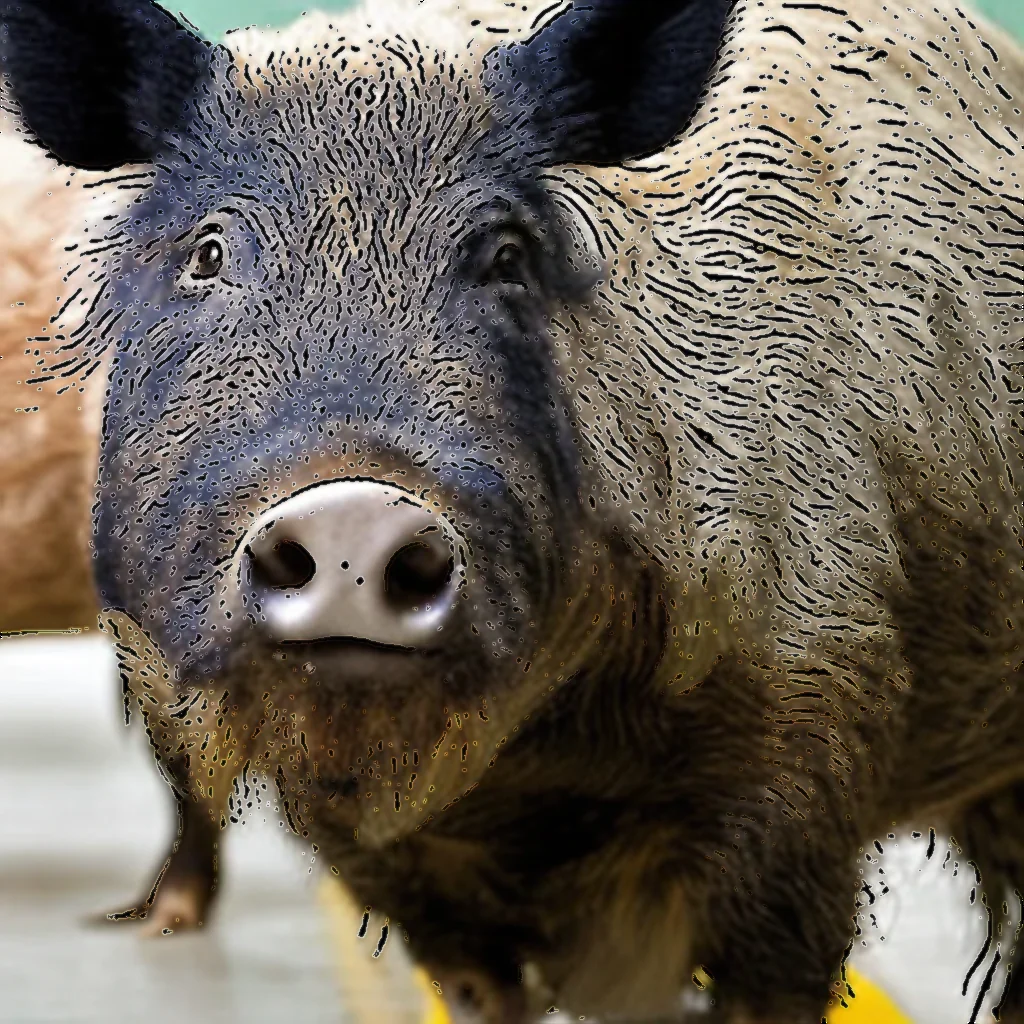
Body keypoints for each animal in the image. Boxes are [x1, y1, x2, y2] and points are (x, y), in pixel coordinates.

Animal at [2, 0, 1023, 1020]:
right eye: (208, 253)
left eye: (506, 257)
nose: (350, 515)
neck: (541, 778)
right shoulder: (390, 860)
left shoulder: (809, 728)